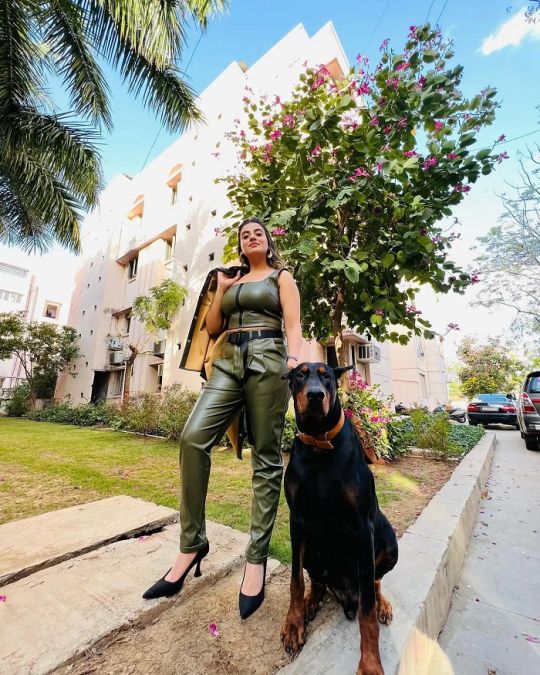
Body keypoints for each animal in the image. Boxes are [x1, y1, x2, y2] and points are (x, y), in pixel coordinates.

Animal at [280, 364, 398, 675]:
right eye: (299, 375)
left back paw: (383, 604)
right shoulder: (297, 520)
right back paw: (311, 602)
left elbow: (367, 611)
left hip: (388, 543)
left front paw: (370, 664)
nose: (315, 395)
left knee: (375, 582)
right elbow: (295, 581)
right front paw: (293, 625)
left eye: (327, 376)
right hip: (312, 549)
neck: (319, 444)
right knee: (316, 580)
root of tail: (346, 597)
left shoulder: (362, 527)